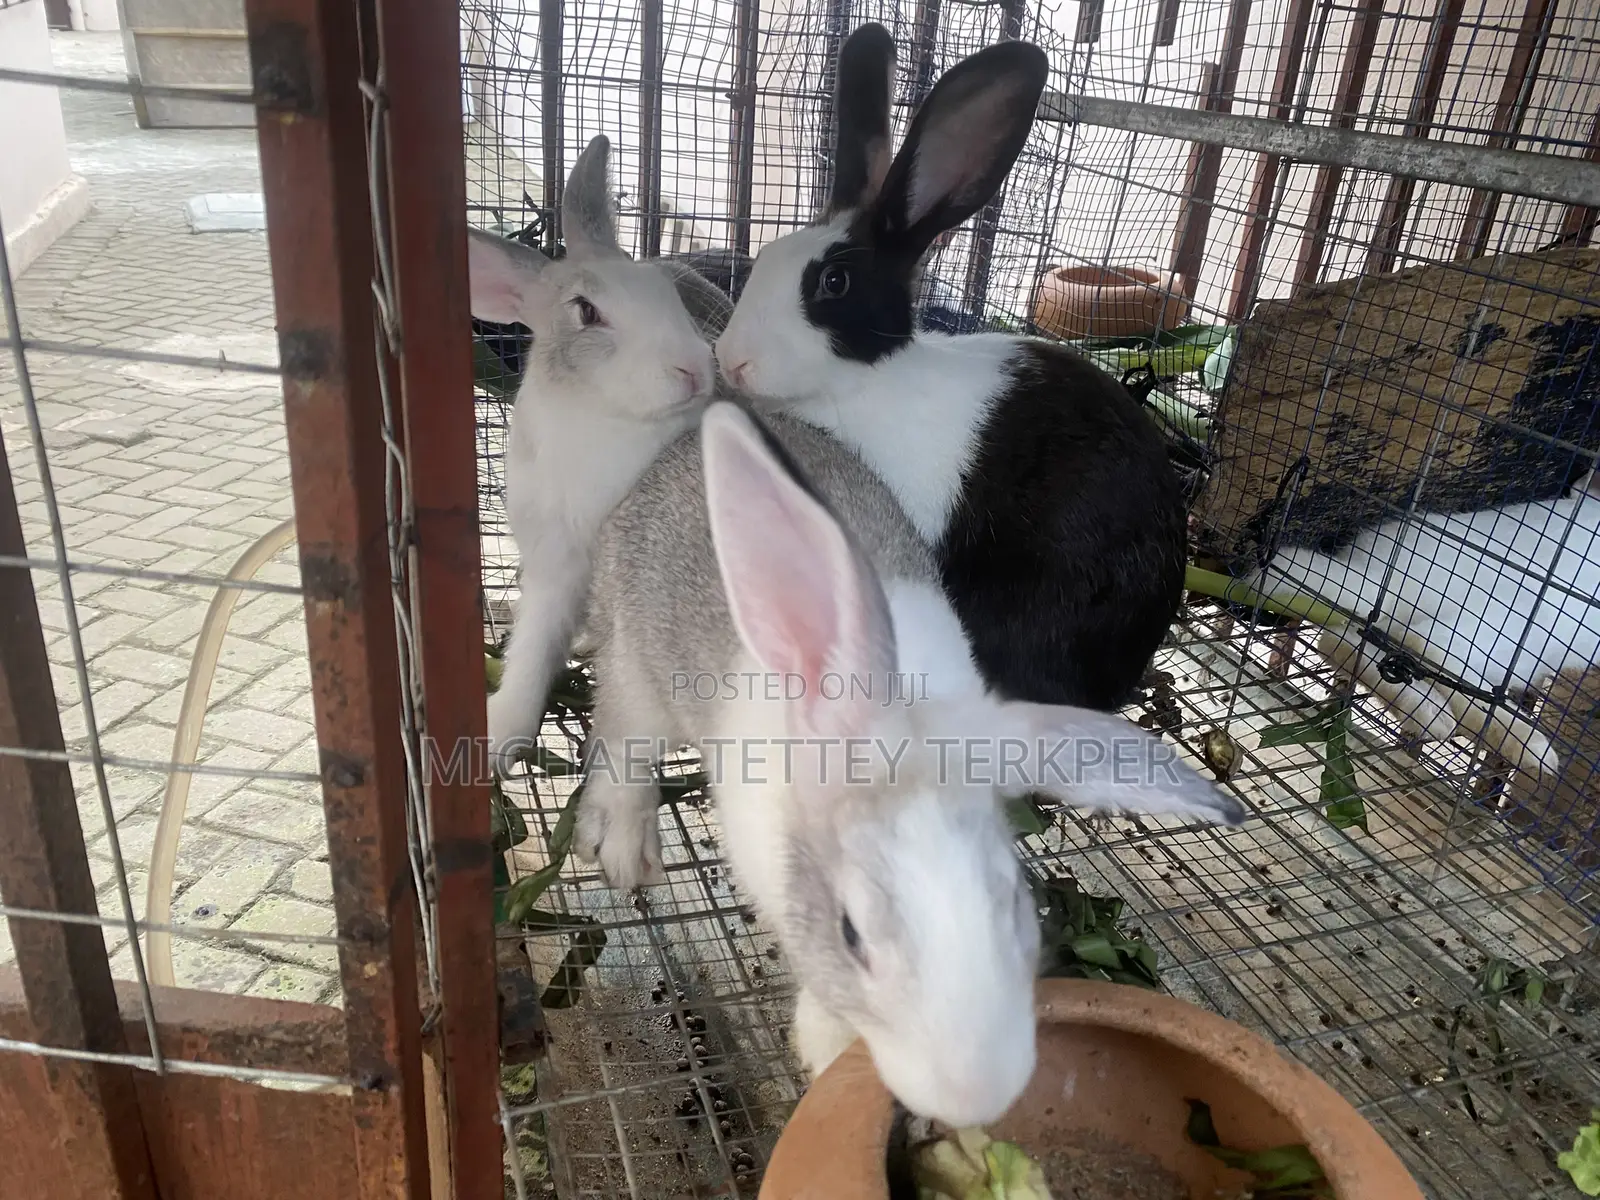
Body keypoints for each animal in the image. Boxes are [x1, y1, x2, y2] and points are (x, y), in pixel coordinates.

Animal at [470, 133, 717, 775]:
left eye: (666, 293)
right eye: (586, 311)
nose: (694, 368)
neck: (601, 419)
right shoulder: (554, 562)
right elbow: (533, 649)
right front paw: (498, 737)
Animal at [576, 398, 1244, 1127]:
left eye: (1014, 902)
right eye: (850, 933)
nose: (974, 1096)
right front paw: (823, 1047)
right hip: (635, 667)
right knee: (621, 742)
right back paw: (624, 849)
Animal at [1265, 467, 1600, 777]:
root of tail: (1386, 583)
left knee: (1342, 641)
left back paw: (1431, 715)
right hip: (1503, 640)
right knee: (1433, 653)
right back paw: (1527, 747)